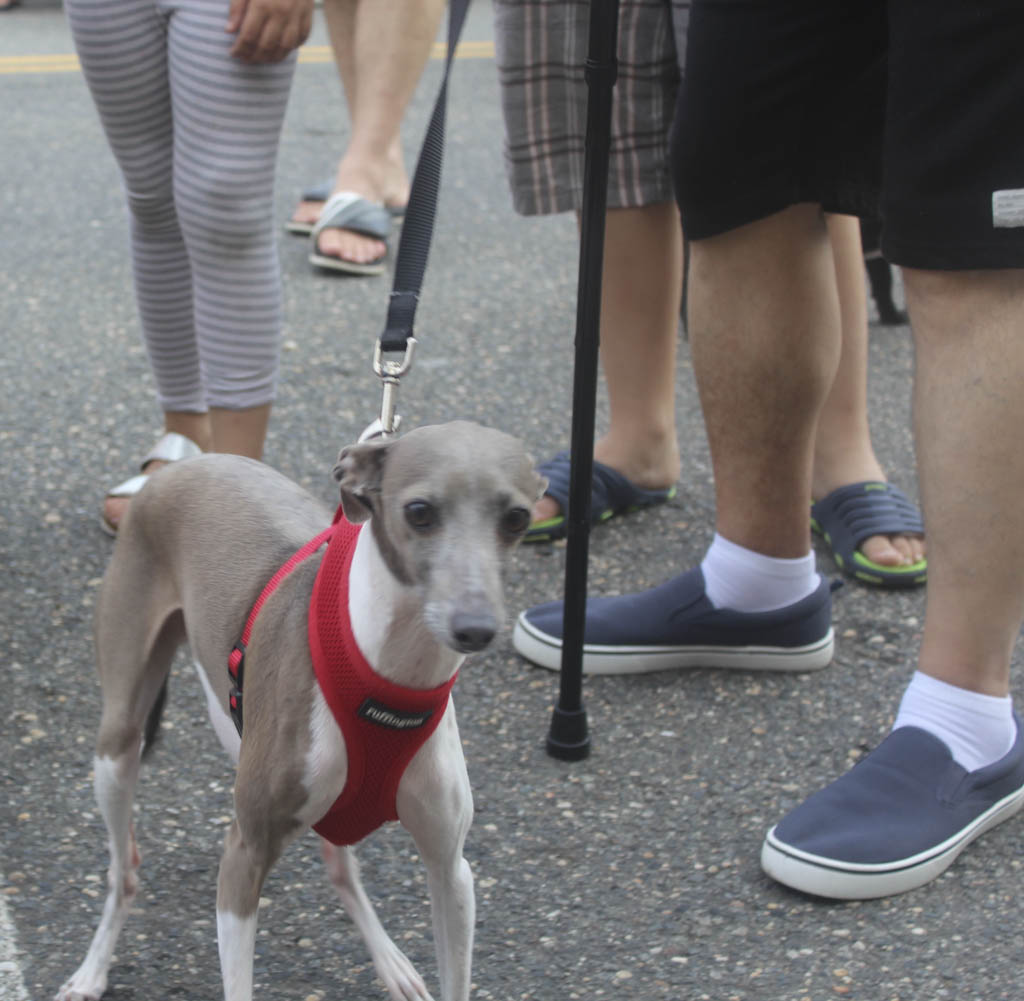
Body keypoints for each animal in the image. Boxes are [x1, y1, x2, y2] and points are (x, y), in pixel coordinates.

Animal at [58, 419, 544, 998]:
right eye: (420, 511)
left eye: (517, 518)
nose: (475, 628)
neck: (390, 678)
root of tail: (187, 464)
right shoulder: (243, 856)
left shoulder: (451, 870)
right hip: (118, 743)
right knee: (123, 869)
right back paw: (90, 970)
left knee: (339, 866)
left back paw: (393, 964)